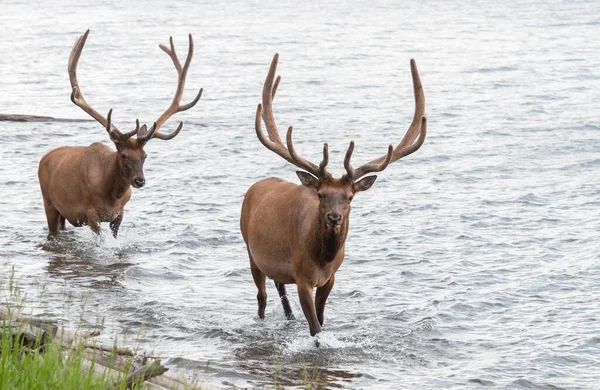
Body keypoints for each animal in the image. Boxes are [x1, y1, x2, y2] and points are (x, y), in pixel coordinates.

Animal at [37, 29, 202, 236]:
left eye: (145, 155)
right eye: (123, 155)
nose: (140, 181)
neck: (112, 196)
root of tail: (44, 157)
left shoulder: (119, 214)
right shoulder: (90, 213)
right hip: (49, 203)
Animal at [239, 53, 426, 336]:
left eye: (350, 197)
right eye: (320, 194)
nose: (334, 217)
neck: (322, 259)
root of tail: (255, 187)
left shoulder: (331, 278)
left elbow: (322, 318)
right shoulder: (301, 277)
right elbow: (316, 328)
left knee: (280, 290)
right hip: (251, 252)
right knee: (261, 298)